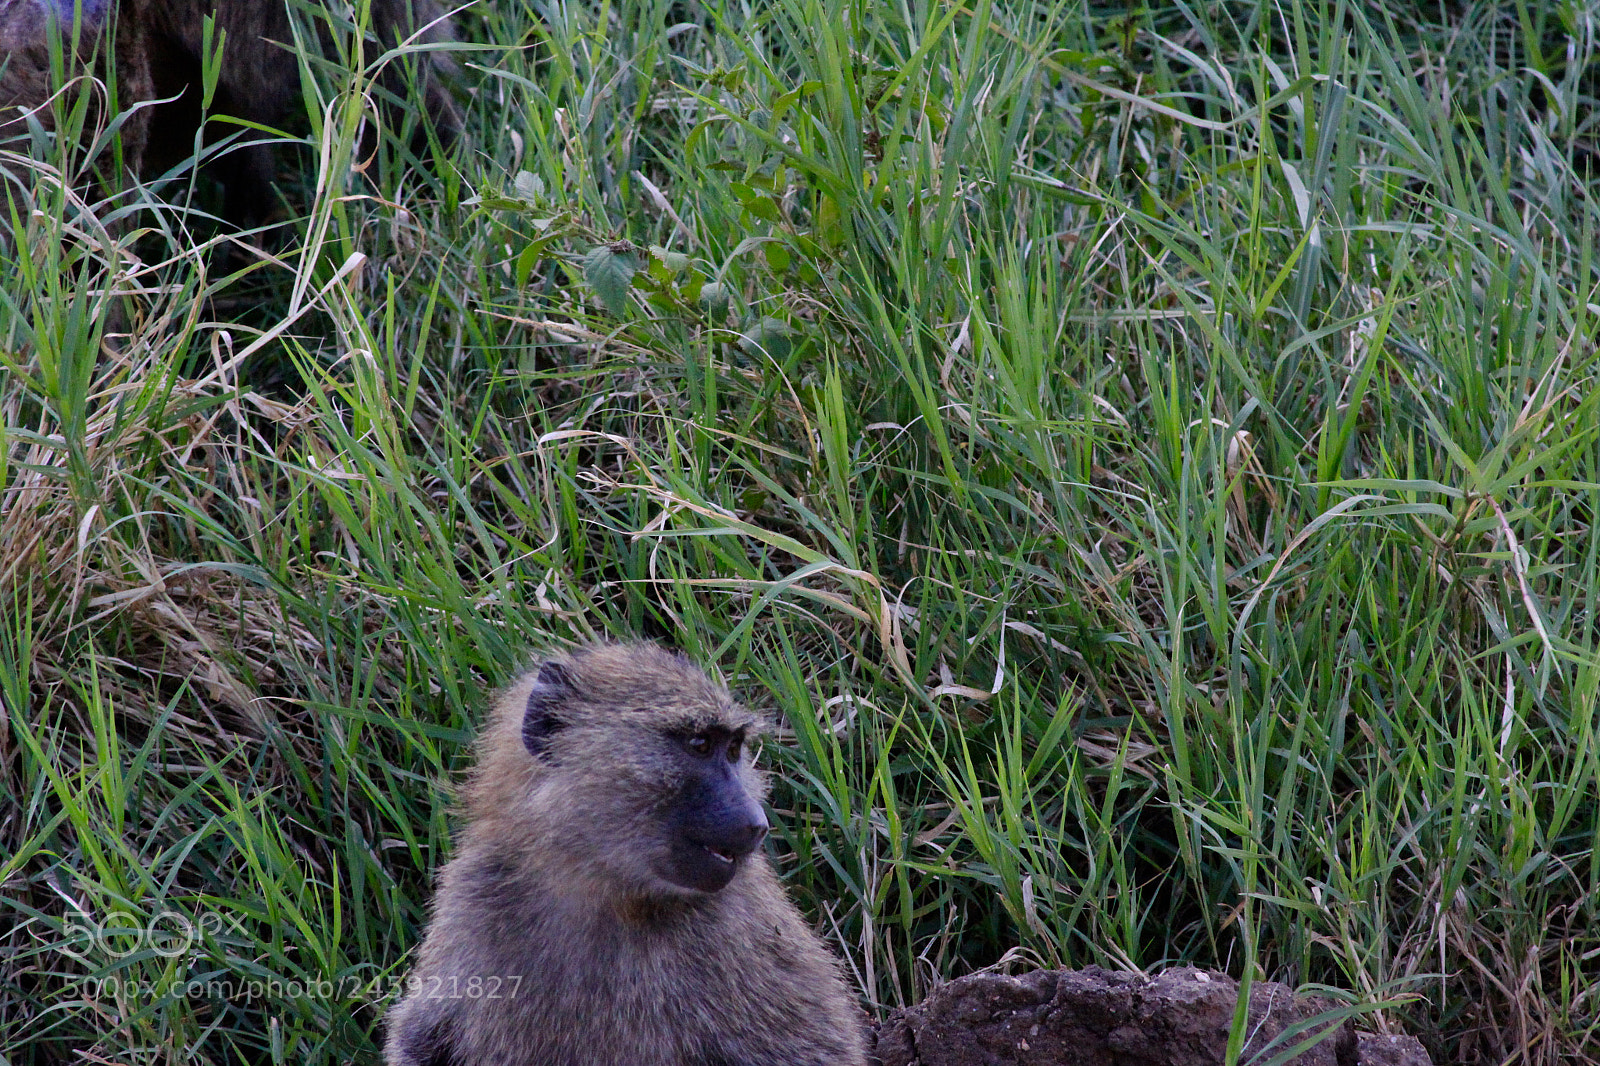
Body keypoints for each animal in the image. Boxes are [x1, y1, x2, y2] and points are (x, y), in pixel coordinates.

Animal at [384, 642, 869, 1066]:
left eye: (733, 749)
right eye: (699, 745)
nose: (756, 823)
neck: (600, 889)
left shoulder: (740, 928)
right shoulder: (474, 894)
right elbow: (423, 1037)